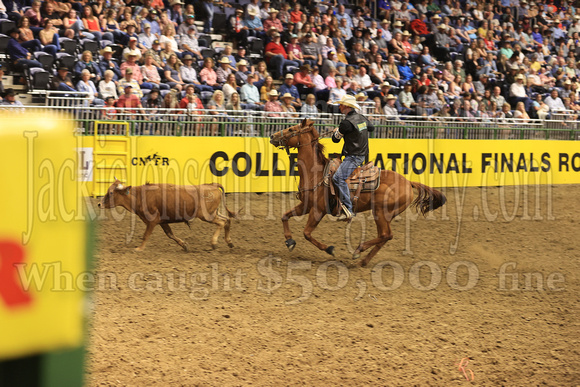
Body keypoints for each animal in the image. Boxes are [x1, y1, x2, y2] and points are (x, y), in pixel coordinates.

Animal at [270, 119, 446, 268]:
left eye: (292, 129)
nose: (272, 136)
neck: (317, 174)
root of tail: (408, 183)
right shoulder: (306, 206)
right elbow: (285, 216)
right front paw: (290, 241)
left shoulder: (318, 210)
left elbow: (306, 233)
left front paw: (329, 249)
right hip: (386, 214)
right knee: (385, 236)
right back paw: (363, 260)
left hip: (381, 212)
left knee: (386, 234)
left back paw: (358, 250)